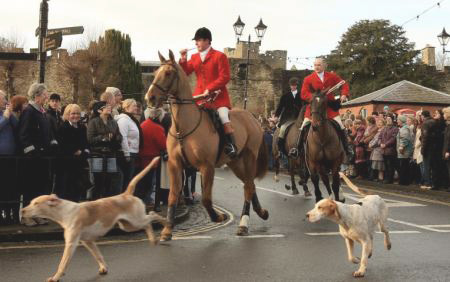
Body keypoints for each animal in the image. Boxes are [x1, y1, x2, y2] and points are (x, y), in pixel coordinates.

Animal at [146, 50, 268, 240]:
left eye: (168, 73)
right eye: (154, 73)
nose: (150, 98)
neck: (183, 127)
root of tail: (252, 117)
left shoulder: (206, 166)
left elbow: (206, 199)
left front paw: (219, 217)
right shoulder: (174, 164)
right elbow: (173, 195)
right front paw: (167, 230)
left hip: (249, 158)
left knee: (248, 187)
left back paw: (243, 223)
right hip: (235, 162)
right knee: (250, 185)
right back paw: (261, 212)